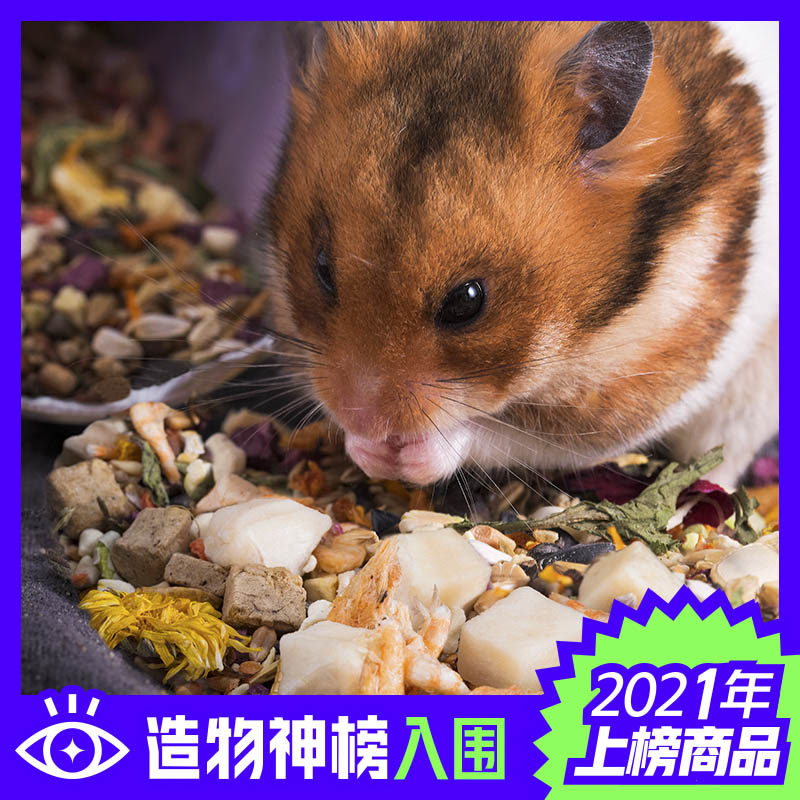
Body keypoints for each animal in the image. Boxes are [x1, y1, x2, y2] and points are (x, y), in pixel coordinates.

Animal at [258, 21, 778, 488]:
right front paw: (364, 448)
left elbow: (493, 435)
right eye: (322, 268)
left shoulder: (629, 395)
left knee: (720, 462)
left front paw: (400, 455)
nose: (359, 417)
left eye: (467, 302)